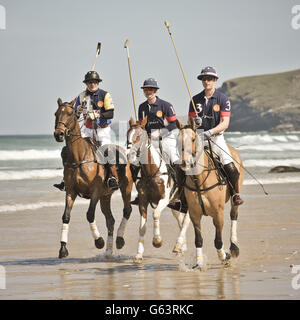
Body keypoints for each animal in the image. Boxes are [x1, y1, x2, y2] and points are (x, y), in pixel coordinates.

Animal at [53, 99, 132, 258]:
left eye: (70, 113)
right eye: (56, 113)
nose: (58, 134)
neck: (79, 157)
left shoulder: (95, 191)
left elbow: (89, 215)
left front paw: (99, 241)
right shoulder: (70, 191)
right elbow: (66, 216)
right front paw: (63, 248)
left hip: (125, 188)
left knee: (127, 210)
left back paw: (119, 240)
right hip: (105, 197)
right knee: (110, 220)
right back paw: (108, 251)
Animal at [126, 117, 190, 262]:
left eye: (139, 136)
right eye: (128, 135)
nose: (130, 156)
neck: (151, 172)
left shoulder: (164, 199)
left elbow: (155, 214)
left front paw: (157, 241)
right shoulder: (143, 201)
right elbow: (142, 228)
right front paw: (139, 254)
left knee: (186, 221)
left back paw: (179, 245)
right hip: (175, 202)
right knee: (180, 219)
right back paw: (182, 247)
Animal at [176, 116, 244, 268]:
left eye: (193, 139)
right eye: (178, 140)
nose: (184, 162)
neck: (199, 179)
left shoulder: (218, 214)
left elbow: (218, 241)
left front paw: (225, 256)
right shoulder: (194, 214)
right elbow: (198, 240)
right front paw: (199, 263)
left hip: (234, 198)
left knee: (234, 215)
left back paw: (234, 248)